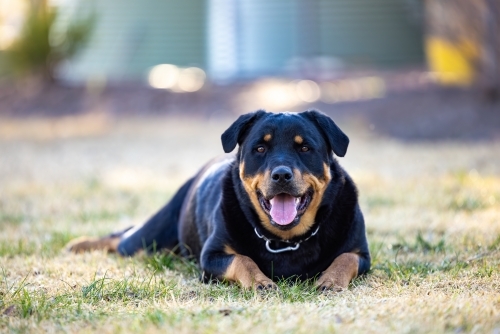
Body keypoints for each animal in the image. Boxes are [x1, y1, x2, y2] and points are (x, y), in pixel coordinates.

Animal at [68, 109, 370, 290]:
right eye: (260, 148)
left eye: (305, 147)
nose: (281, 175)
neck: (285, 240)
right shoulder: (212, 256)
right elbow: (243, 260)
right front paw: (261, 282)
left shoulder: (362, 255)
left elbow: (345, 258)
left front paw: (330, 281)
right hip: (147, 241)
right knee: (121, 238)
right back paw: (79, 244)